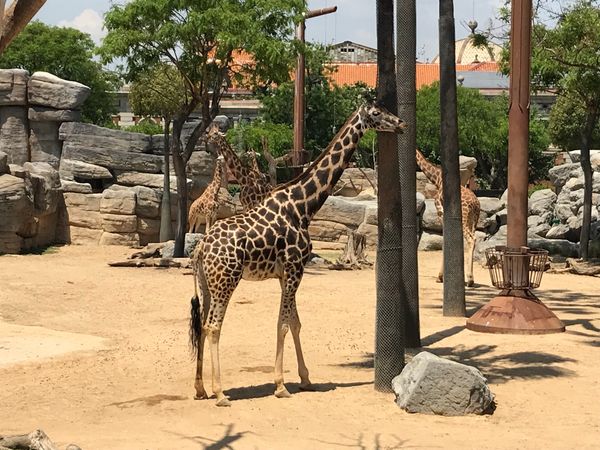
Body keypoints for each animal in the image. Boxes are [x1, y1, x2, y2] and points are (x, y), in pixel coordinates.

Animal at [191, 103, 408, 406]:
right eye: (376, 113)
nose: (401, 124)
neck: (303, 205)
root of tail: (201, 247)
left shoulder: (286, 273)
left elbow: (295, 323)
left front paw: (305, 379)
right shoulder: (296, 266)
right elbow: (282, 324)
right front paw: (281, 385)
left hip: (206, 282)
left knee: (201, 325)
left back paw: (200, 388)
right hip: (226, 280)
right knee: (213, 326)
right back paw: (220, 392)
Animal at [414, 149, 480, 286]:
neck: (438, 179)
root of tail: (475, 205)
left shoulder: (440, 211)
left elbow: (444, 240)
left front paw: (440, 277)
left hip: (464, 218)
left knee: (471, 239)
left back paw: (469, 279)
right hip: (473, 220)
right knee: (474, 238)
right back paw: (470, 278)